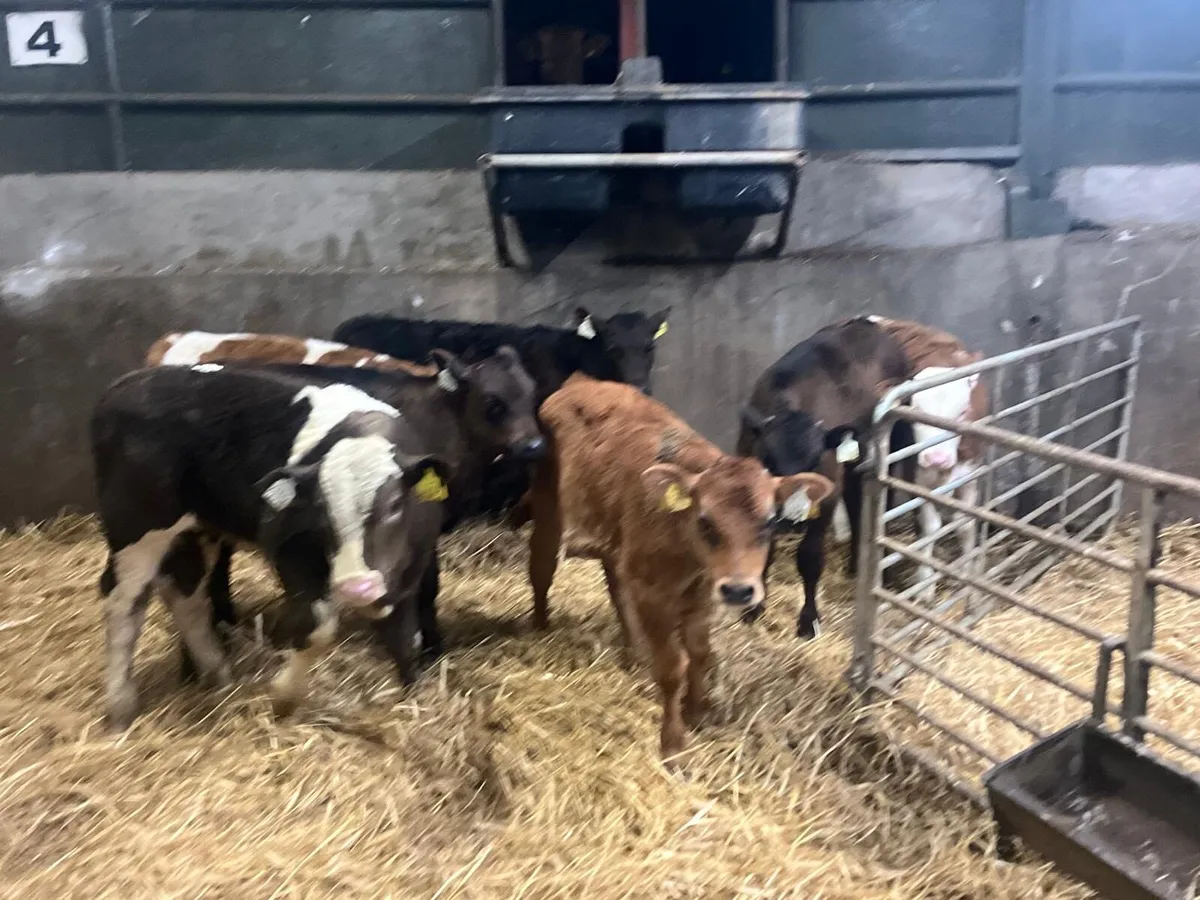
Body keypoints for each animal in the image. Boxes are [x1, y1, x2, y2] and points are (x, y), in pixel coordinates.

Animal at [92, 364, 454, 730]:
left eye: (395, 504)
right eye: (320, 507)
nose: (356, 587)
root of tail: (128, 382)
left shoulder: (411, 570)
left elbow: (407, 640)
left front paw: (413, 701)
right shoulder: (290, 551)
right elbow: (317, 629)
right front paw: (284, 698)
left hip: (199, 529)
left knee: (186, 596)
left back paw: (218, 677)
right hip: (136, 528)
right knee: (123, 603)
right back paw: (121, 708)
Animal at [525, 374, 834, 761]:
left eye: (769, 521)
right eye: (705, 521)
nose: (738, 590)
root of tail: (582, 381)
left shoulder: (702, 597)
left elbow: (701, 654)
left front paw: (697, 712)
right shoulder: (653, 595)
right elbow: (673, 667)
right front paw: (672, 742)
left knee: (616, 584)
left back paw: (635, 653)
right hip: (549, 505)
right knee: (542, 565)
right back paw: (540, 626)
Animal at [736, 317, 913, 640]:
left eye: (815, 460)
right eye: (767, 459)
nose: (791, 519)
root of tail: (866, 324)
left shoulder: (826, 497)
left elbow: (809, 558)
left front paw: (808, 621)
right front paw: (753, 608)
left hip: (893, 443)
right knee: (856, 504)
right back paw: (855, 565)